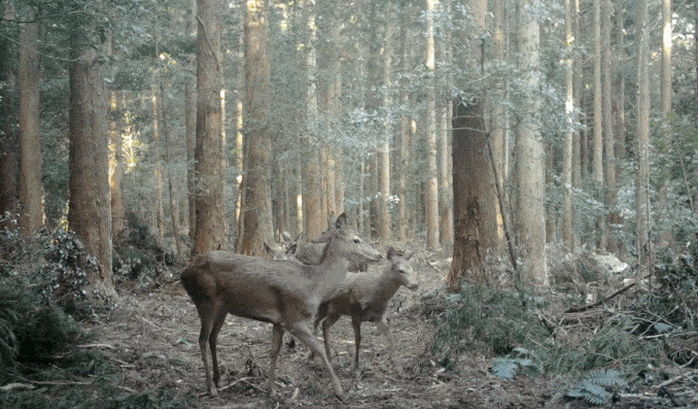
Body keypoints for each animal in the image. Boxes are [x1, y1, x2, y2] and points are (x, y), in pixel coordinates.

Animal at [177, 214, 378, 398]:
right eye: (356, 239)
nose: (379, 254)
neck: (315, 286)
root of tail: (183, 273)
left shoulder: (278, 321)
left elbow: (274, 351)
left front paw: (271, 389)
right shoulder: (293, 318)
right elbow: (318, 348)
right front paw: (340, 391)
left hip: (222, 308)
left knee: (213, 337)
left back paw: (218, 379)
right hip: (205, 300)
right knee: (202, 339)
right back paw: (211, 388)